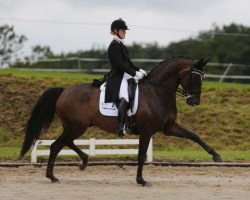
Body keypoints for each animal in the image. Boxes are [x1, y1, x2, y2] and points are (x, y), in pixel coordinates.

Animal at [19, 56, 223, 186]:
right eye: (195, 77)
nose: (194, 102)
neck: (157, 91)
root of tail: (63, 91)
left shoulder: (169, 127)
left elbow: (194, 136)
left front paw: (216, 156)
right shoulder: (147, 131)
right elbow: (141, 155)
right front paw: (141, 181)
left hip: (76, 126)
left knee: (61, 143)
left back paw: (75, 165)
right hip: (77, 126)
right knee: (58, 144)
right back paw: (54, 174)